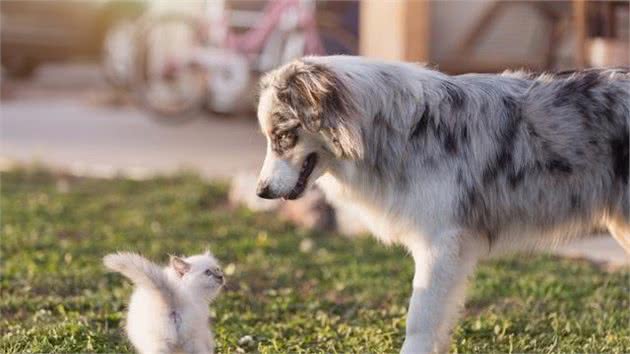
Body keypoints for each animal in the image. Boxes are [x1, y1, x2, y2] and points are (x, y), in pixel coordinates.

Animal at [254, 55, 628, 352]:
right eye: (270, 137)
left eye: (283, 135)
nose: (261, 192)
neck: (400, 132)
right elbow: (438, 318)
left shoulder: (439, 242)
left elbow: (420, 317)